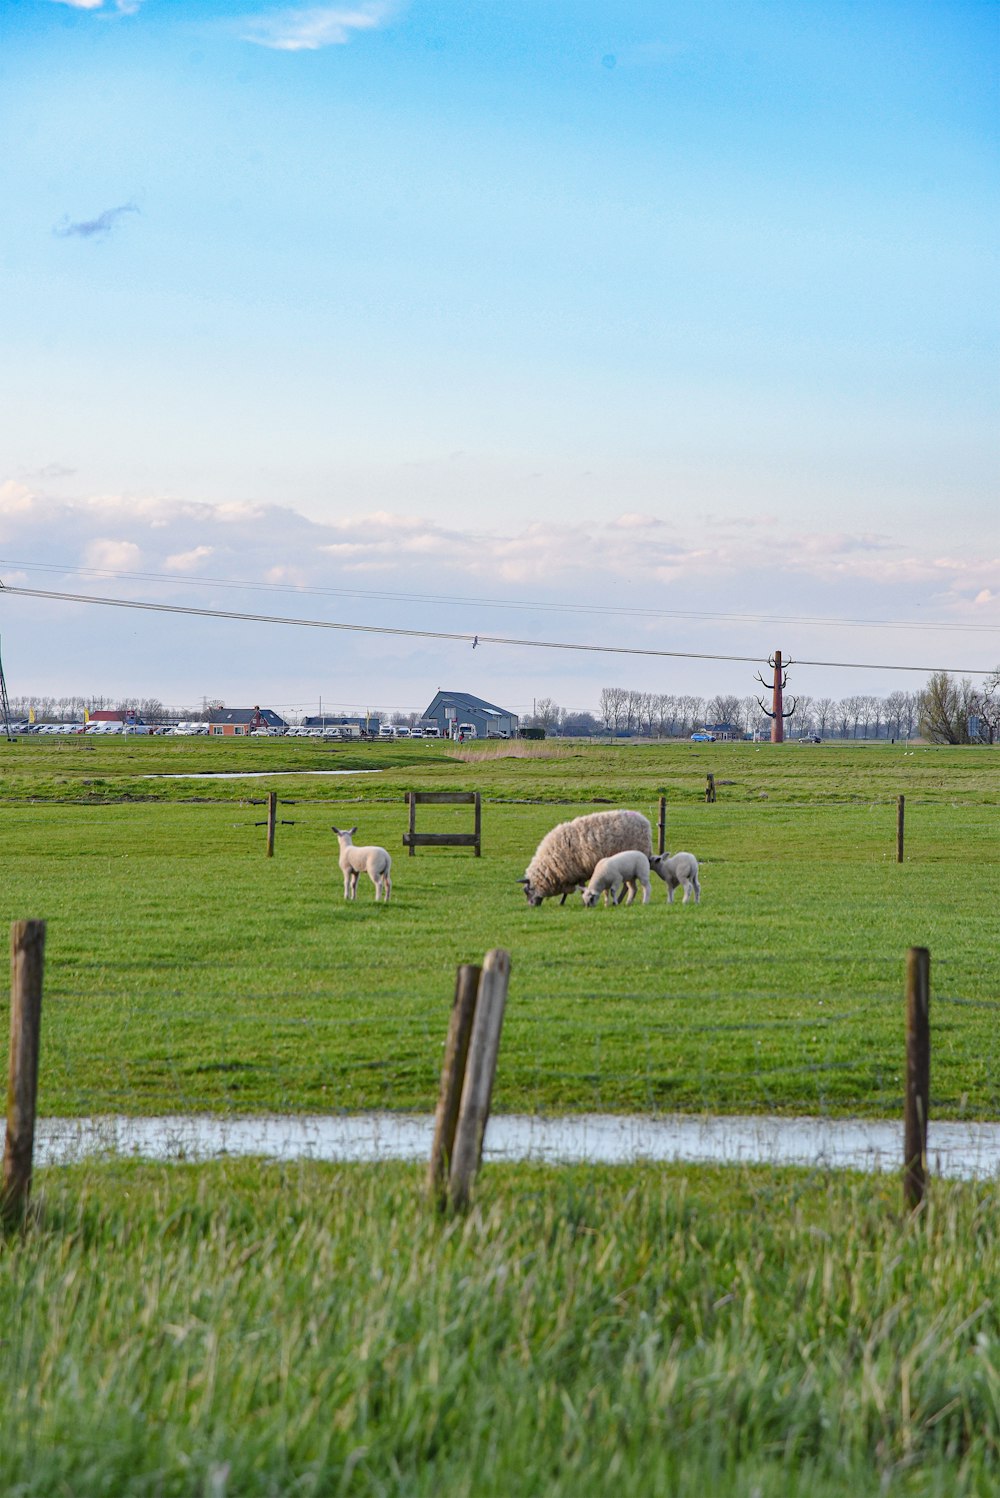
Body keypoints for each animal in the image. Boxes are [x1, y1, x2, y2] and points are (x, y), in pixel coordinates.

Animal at [520, 808, 652, 898]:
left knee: (627, 886)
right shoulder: (575, 873)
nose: (532, 906)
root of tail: (644, 821)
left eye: (528, 892)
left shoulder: (573, 872)